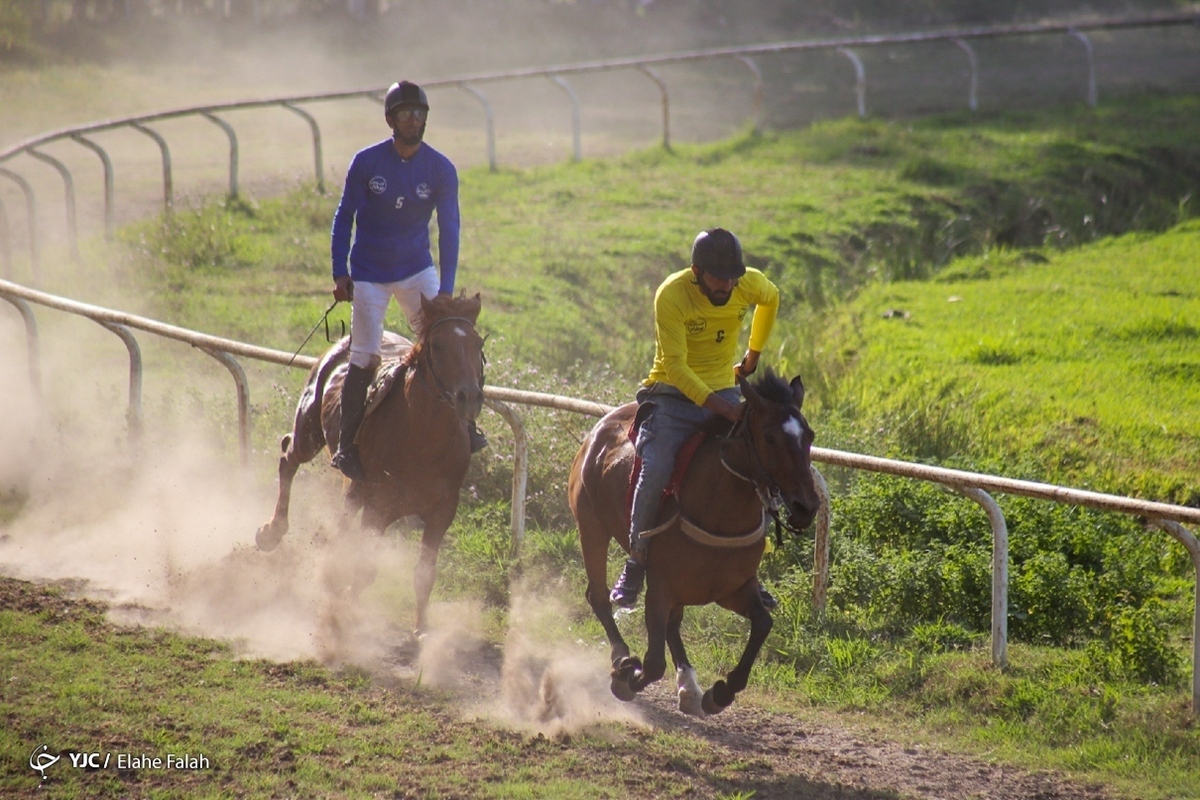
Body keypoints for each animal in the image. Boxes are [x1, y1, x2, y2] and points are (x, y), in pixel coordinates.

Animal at [255, 293, 484, 638]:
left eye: (477, 343)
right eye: (438, 345)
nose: (468, 396)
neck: (424, 439)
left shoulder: (442, 513)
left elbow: (424, 573)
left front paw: (422, 628)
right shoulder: (379, 507)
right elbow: (365, 569)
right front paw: (344, 612)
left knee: (342, 512)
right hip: (309, 430)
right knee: (287, 457)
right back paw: (272, 531)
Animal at [566, 371, 820, 714]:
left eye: (810, 435)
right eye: (769, 438)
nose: (807, 506)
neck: (718, 512)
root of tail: (599, 429)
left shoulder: (732, 588)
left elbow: (762, 623)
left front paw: (721, 691)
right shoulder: (660, 588)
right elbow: (653, 663)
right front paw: (627, 677)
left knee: (673, 623)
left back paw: (688, 684)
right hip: (591, 526)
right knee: (598, 596)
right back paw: (621, 656)